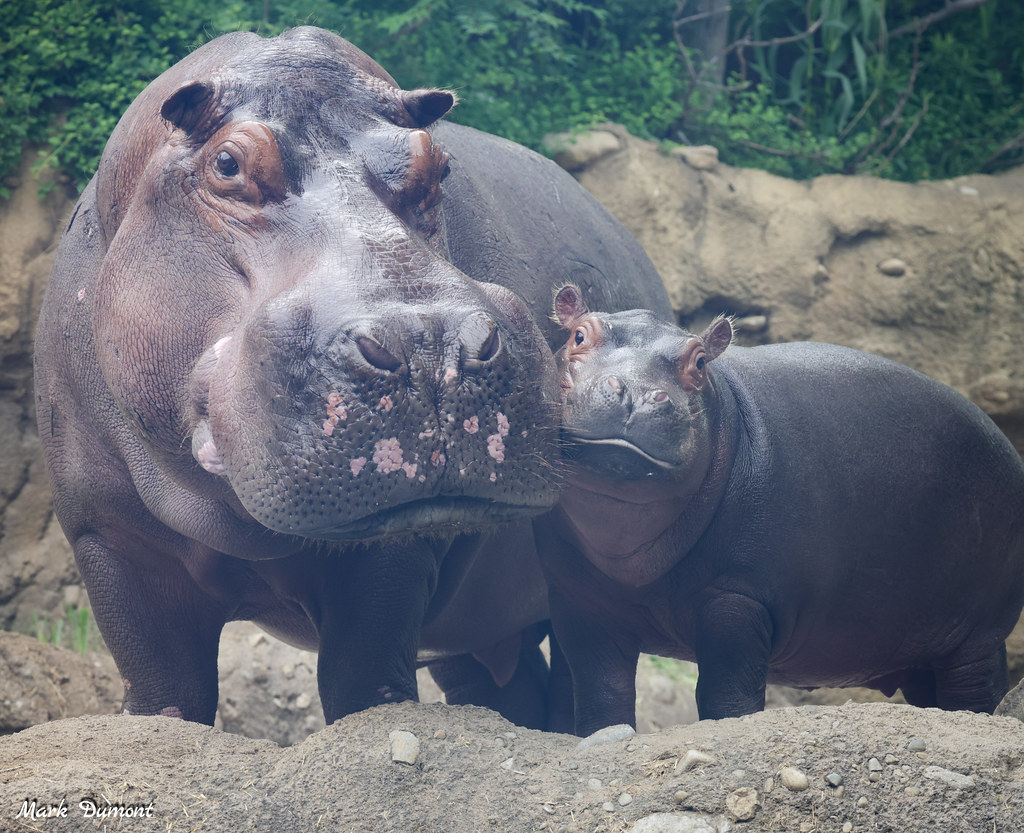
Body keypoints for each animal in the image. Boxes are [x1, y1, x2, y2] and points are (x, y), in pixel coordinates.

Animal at [33, 28, 672, 728]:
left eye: (439, 164)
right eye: (227, 164)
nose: (432, 347)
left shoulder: (392, 547)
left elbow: (363, 683)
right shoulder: (108, 538)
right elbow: (163, 696)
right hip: (476, 630)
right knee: (504, 684)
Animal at [536, 285, 1024, 734]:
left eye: (700, 363)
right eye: (578, 335)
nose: (637, 394)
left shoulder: (738, 598)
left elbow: (727, 692)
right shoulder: (583, 601)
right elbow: (601, 690)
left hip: (979, 637)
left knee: (976, 692)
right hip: (921, 648)